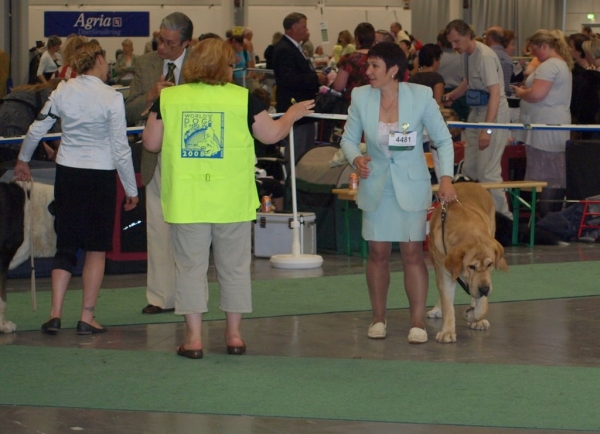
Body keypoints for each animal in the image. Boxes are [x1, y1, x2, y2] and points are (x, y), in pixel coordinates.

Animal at [426, 183, 506, 342]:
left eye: (490, 264)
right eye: (471, 266)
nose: (484, 289)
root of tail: (471, 183)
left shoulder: (484, 279)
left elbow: (482, 306)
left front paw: (473, 315)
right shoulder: (444, 271)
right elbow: (447, 304)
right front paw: (447, 332)